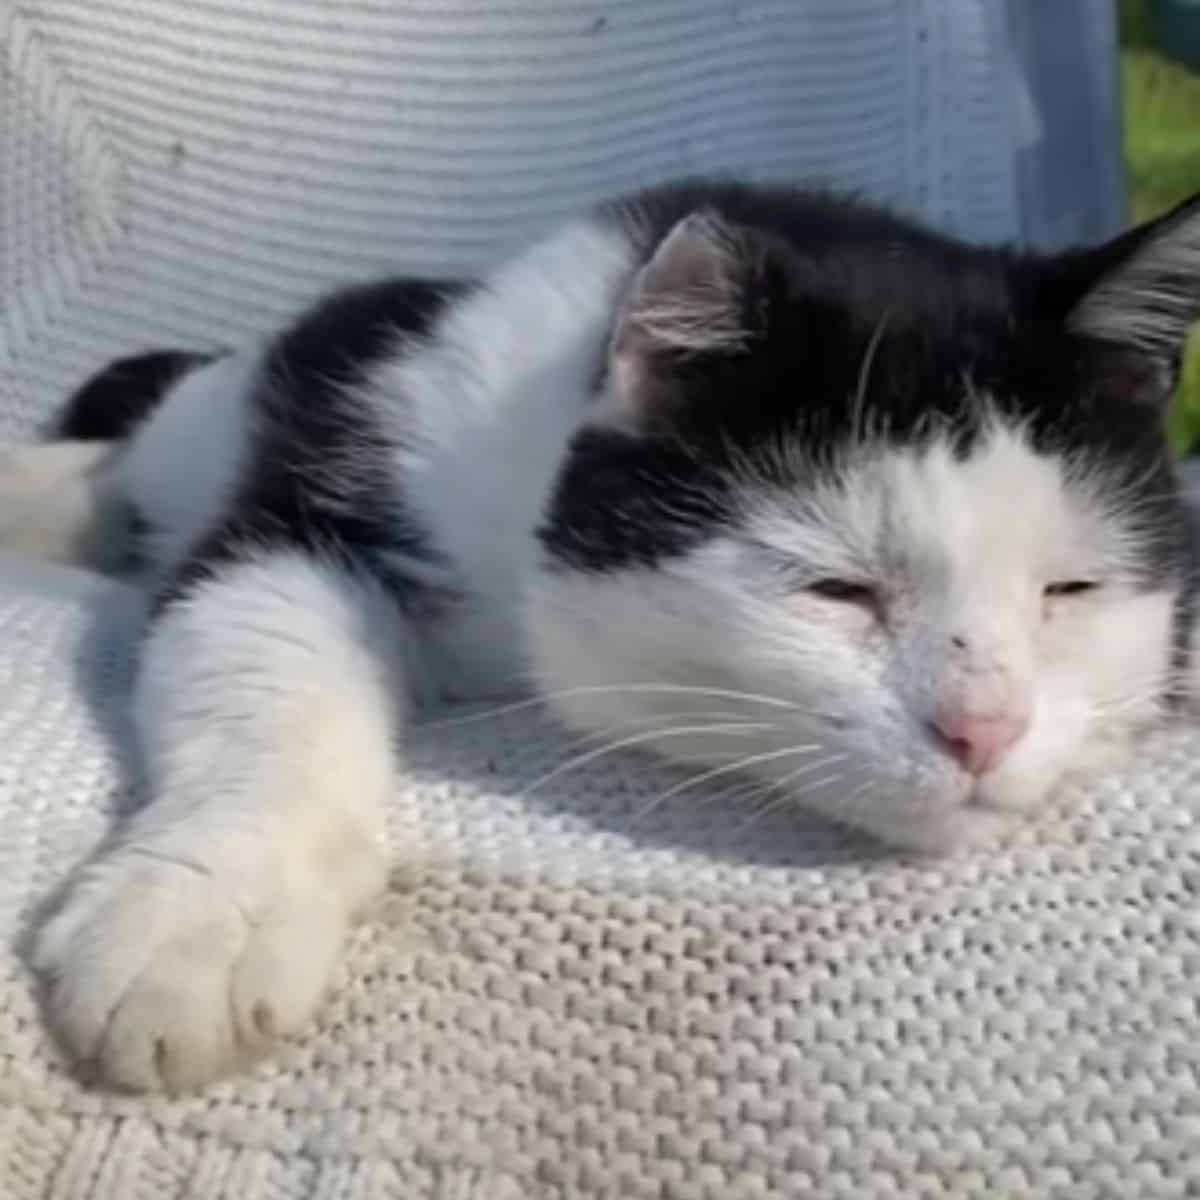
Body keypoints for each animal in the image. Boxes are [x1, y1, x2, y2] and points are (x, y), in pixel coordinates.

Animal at [2, 182, 1200, 1094]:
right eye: (836, 587)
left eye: (1071, 588)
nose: (985, 729)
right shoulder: (318, 494)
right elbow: (268, 657)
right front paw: (204, 914)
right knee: (142, 455)